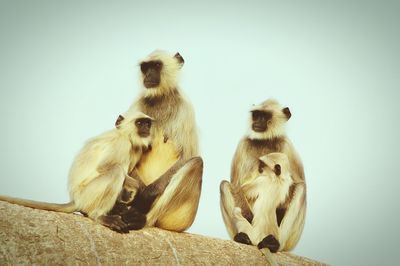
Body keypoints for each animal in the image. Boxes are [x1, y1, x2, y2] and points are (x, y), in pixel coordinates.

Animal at [0, 110, 154, 233]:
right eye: (139, 123)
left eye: (147, 123)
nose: (146, 128)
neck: (124, 134)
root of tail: (75, 199)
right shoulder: (121, 142)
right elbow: (104, 167)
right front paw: (136, 187)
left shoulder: (136, 149)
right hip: (87, 195)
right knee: (116, 171)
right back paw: (99, 216)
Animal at [119, 50, 205, 233]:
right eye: (145, 67)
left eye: (157, 66)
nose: (148, 75)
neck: (160, 98)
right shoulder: (137, 105)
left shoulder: (186, 107)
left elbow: (188, 155)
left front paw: (144, 196)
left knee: (196, 163)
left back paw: (139, 219)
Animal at [219, 98, 306, 252]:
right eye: (256, 115)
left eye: (264, 116)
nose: (257, 122)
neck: (264, 140)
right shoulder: (243, 143)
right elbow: (236, 185)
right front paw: (248, 216)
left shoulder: (287, 145)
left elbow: (299, 182)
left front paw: (278, 212)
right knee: (224, 185)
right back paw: (243, 238)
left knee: (301, 188)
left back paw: (274, 243)